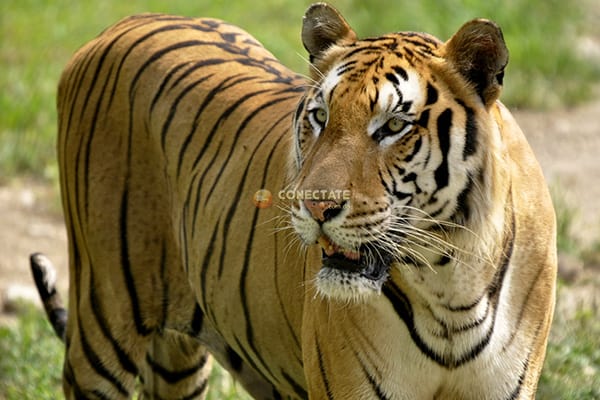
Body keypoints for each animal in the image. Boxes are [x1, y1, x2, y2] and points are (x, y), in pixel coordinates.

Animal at [30, 3, 556, 400]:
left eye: (393, 126)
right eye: (320, 117)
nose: (315, 208)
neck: (449, 283)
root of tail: (125, 22)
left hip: (179, 359)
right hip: (103, 317)